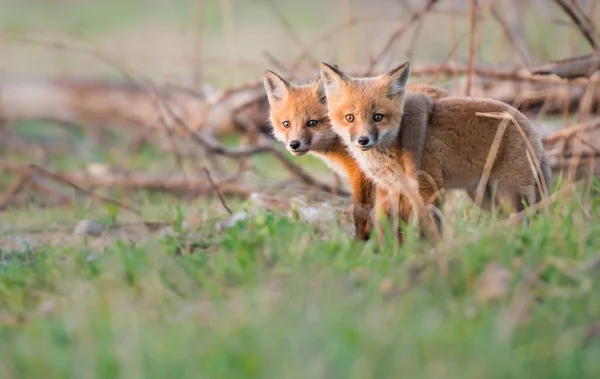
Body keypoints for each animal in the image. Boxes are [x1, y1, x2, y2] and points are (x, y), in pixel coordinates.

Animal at [260, 69, 448, 240]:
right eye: (286, 124)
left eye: (312, 123)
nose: (294, 144)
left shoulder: (361, 174)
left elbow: (362, 216)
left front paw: (360, 244)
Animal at [322, 61, 552, 240]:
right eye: (350, 118)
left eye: (378, 117)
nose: (363, 140)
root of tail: (530, 125)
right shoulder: (397, 190)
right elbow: (398, 230)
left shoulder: (428, 187)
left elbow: (429, 229)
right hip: (485, 197)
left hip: (509, 192)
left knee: (528, 218)